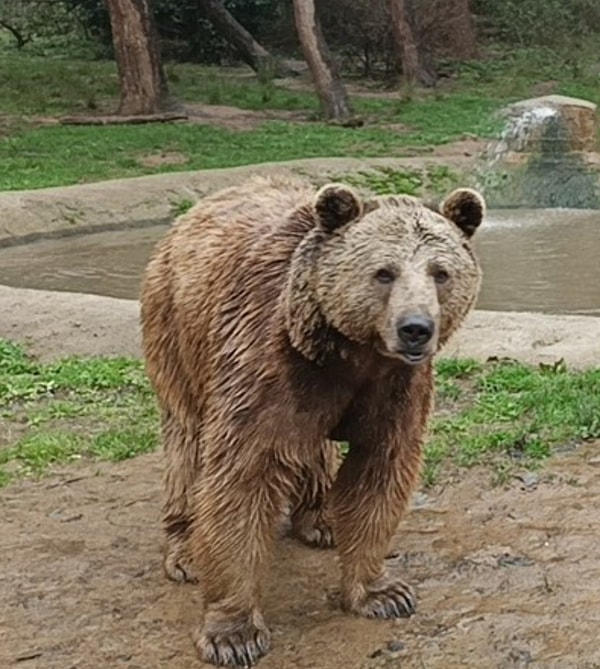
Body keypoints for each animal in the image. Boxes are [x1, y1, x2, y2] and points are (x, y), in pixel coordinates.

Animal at [139, 175, 482, 664]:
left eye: (440, 272)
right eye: (384, 272)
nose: (416, 328)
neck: (348, 353)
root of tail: (202, 205)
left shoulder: (395, 388)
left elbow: (380, 474)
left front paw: (382, 592)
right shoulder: (262, 362)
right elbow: (240, 481)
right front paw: (233, 634)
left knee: (314, 448)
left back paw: (322, 520)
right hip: (176, 330)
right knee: (186, 443)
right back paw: (185, 549)